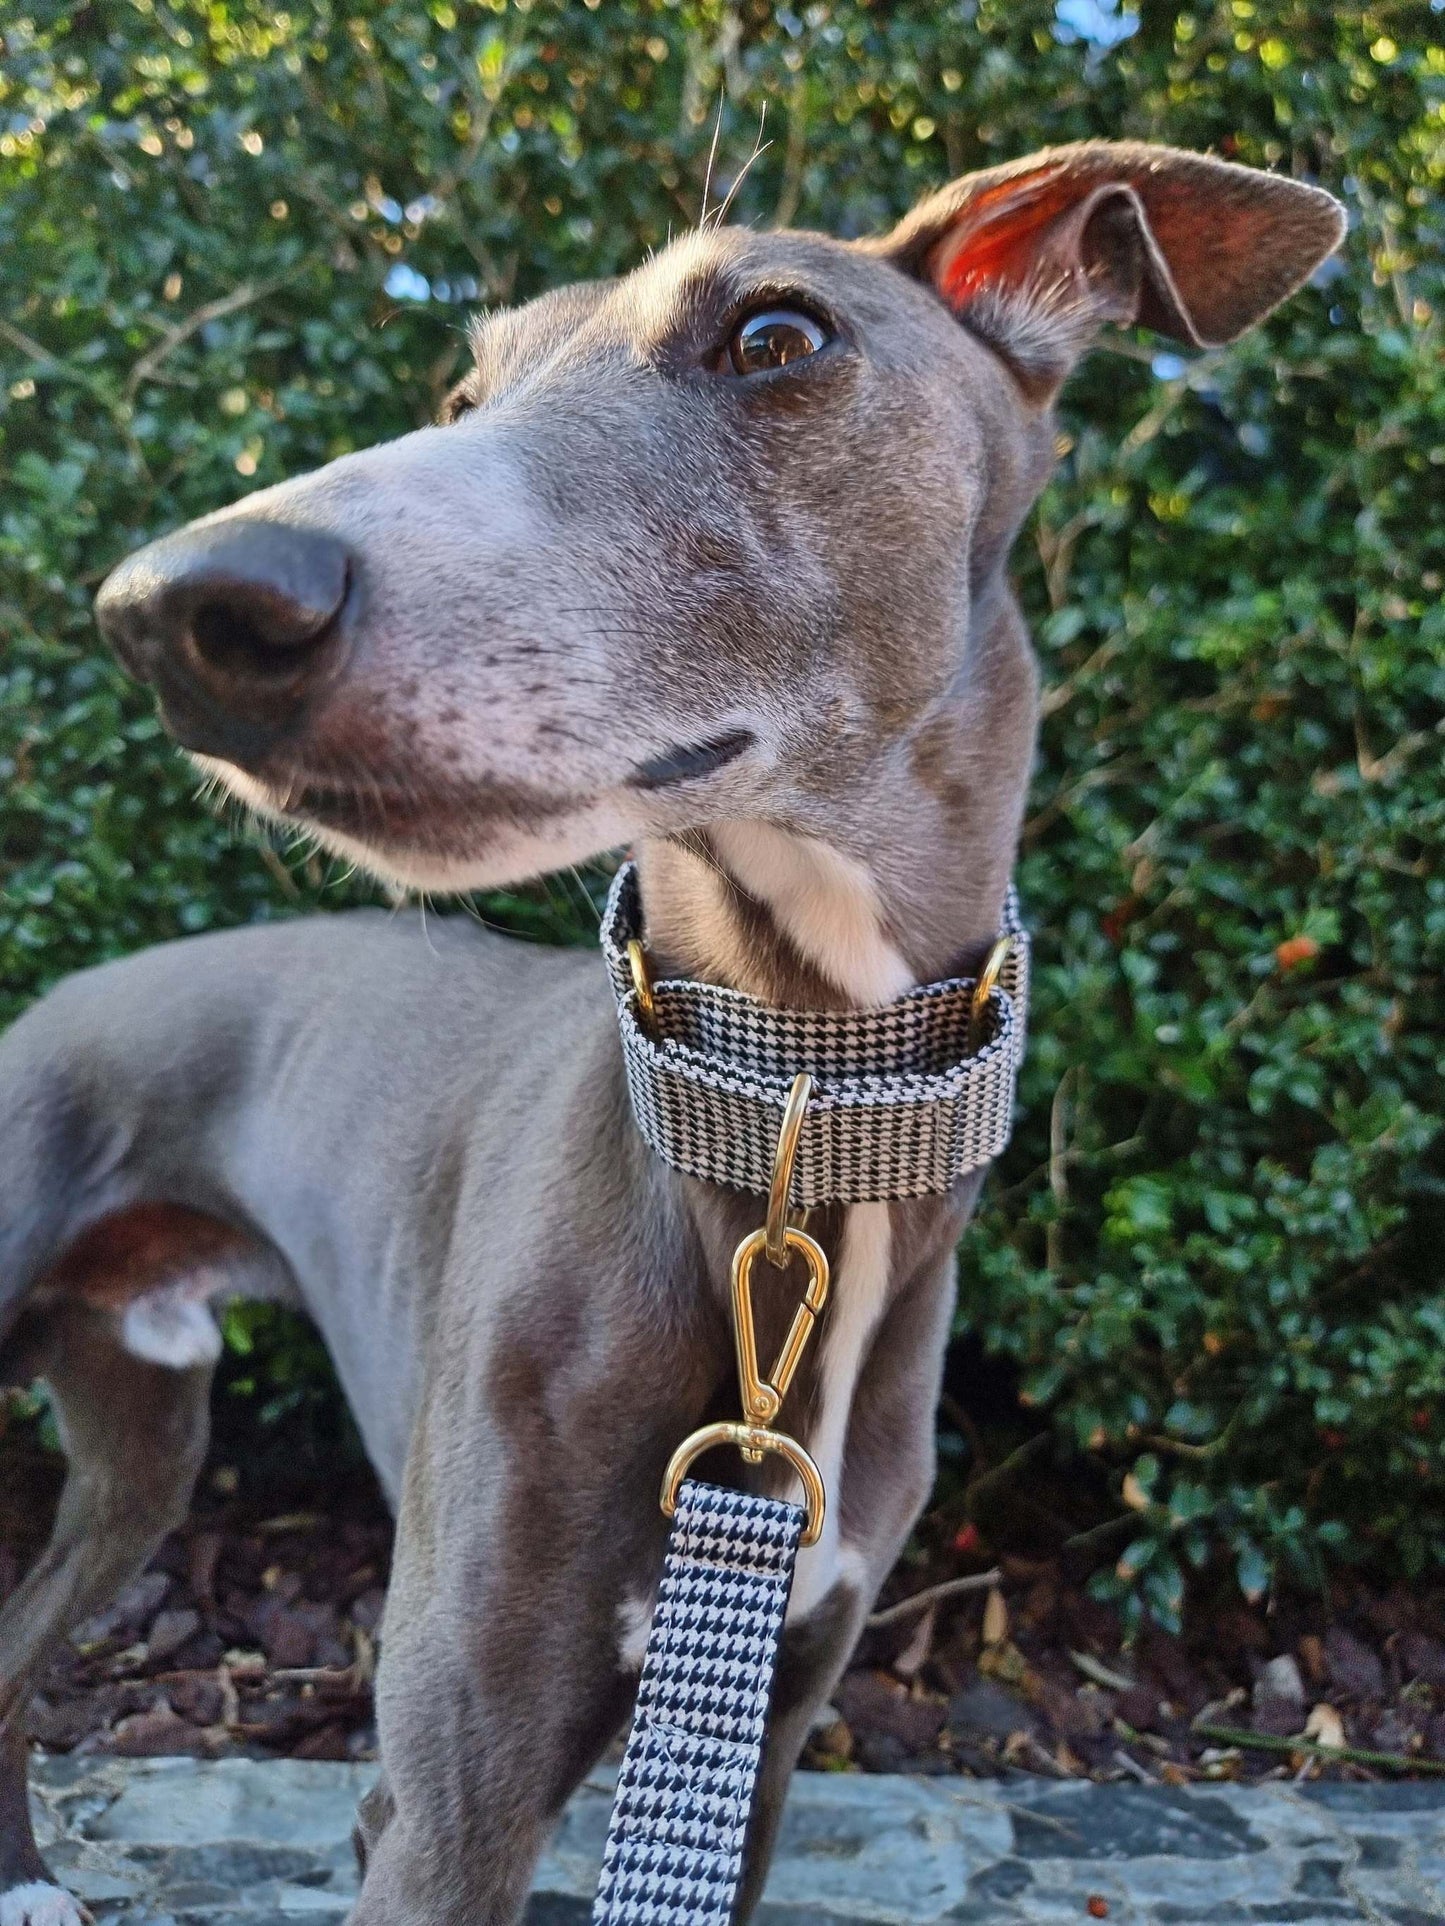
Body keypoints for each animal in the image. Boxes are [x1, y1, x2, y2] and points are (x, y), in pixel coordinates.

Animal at [5, 142, 1356, 1918]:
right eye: (464, 389)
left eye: (777, 335)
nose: (179, 611)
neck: (798, 1107)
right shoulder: (452, 1799)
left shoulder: (765, 1729)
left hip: (141, 1446)